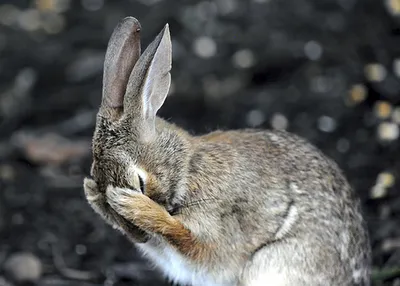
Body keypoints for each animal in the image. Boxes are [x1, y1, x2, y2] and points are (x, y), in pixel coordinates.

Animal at [83, 17, 372, 286]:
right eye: (98, 180)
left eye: (139, 182)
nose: (139, 236)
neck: (187, 169)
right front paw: (93, 195)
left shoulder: (216, 228)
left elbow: (190, 241)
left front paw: (134, 205)